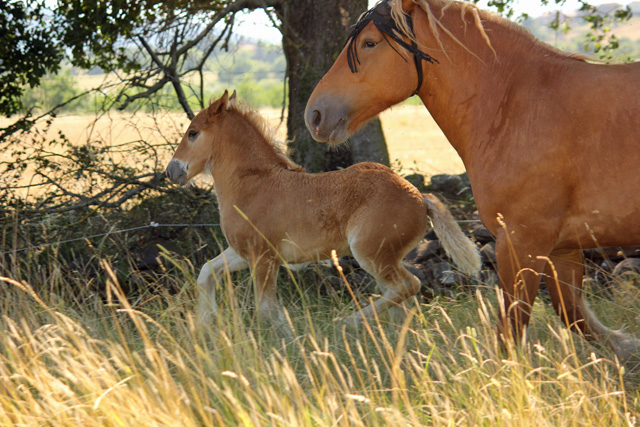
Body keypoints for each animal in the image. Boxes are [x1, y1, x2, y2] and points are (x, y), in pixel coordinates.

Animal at [166, 91, 480, 328]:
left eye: (193, 133)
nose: (172, 171)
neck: (254, 183)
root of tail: (419, 195)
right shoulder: (244, 253)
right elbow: (206, 272)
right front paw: (205, 324)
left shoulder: (264, 258)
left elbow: (267, 310)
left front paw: (290, 340)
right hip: (385, 258)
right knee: (403, 301)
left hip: (371, 253)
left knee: (408, 286)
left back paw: (348, 323)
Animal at [304, 0, 640, 360]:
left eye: (369, 43)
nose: (315, 115)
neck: (515, 107)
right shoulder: (563, 248)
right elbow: (575, 316)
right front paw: (627, 348)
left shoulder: (522, 243)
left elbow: (511, 331)